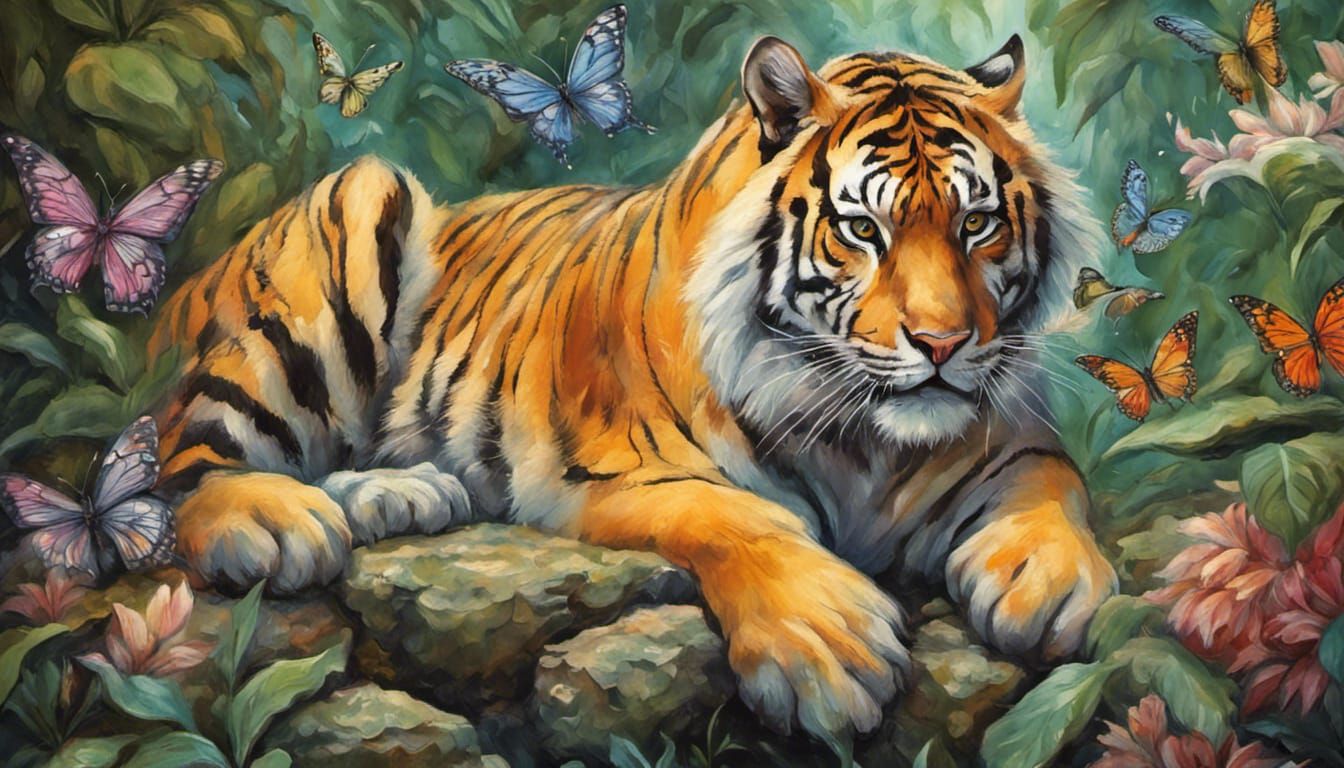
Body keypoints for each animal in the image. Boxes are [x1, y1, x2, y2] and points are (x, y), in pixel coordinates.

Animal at [147, 34, 1117, 743]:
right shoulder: (612, 472)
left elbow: (1051, 481)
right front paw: (827, 648)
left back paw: (405, 493)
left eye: (978, 223)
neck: (867, 441)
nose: (944, 343)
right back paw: (273, 523)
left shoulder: (1011, 439)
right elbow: (742, 518)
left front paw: (1046, 580)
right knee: (181, 462)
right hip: (355, 207)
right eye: (863, 230)